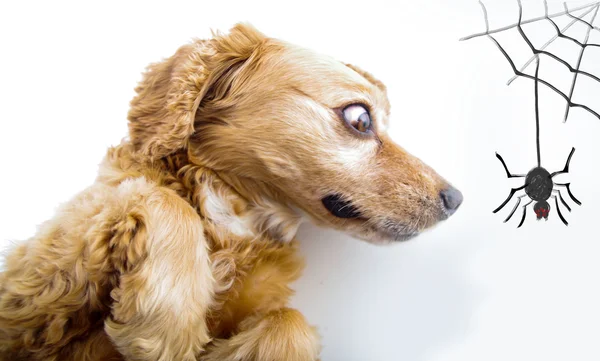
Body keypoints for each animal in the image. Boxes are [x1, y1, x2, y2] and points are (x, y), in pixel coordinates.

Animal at [0, 23, 464, 360]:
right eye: (360, 119)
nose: (455, 200)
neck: (234, 222)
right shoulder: (26, 295)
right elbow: (162, 199)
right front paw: (165, 325)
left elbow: (290, 323)